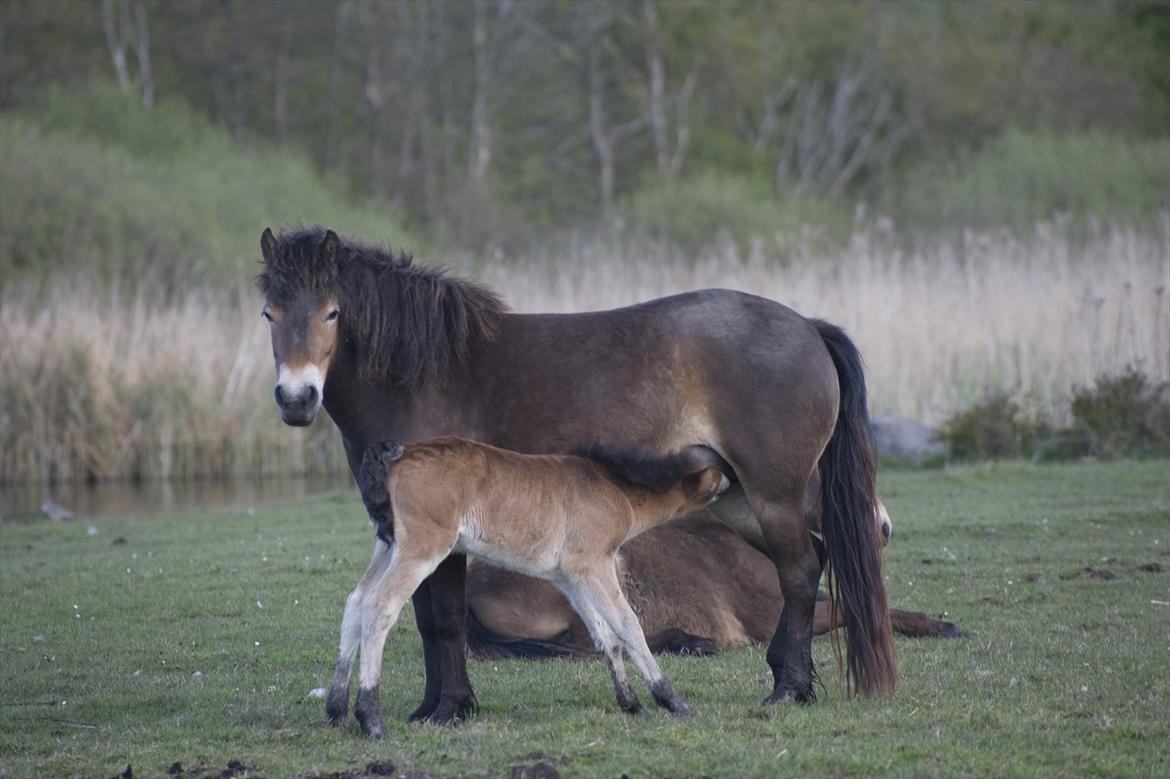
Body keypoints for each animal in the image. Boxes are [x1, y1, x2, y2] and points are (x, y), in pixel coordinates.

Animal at [332, 437, 730, 734]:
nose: (729, 480)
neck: (609, 485)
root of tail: (400, 454)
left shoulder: (571, 578)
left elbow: (605, 636)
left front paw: (631, 704)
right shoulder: (596, 565)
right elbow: (628, 626)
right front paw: (671, 700)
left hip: (388, 545)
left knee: (355, 602)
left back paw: (336, 711)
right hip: (421, 549)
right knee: (379, 607)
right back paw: (370, 718)